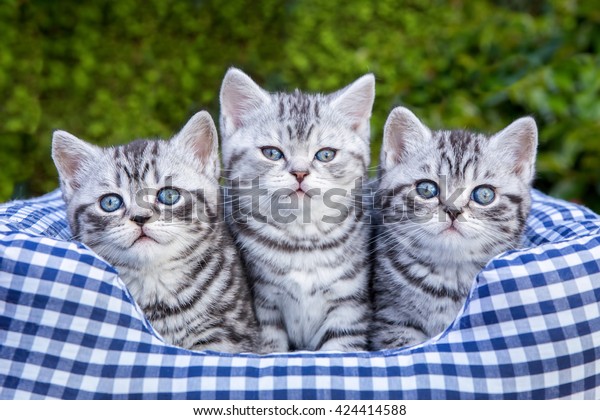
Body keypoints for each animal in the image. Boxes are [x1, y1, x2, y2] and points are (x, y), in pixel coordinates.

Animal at [218, 69, 372, 352]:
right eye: (271, 153)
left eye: (325, 155)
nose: (300, 173)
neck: (303, 242)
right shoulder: (264, 305)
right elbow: (271, 348)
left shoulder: (349, 306)